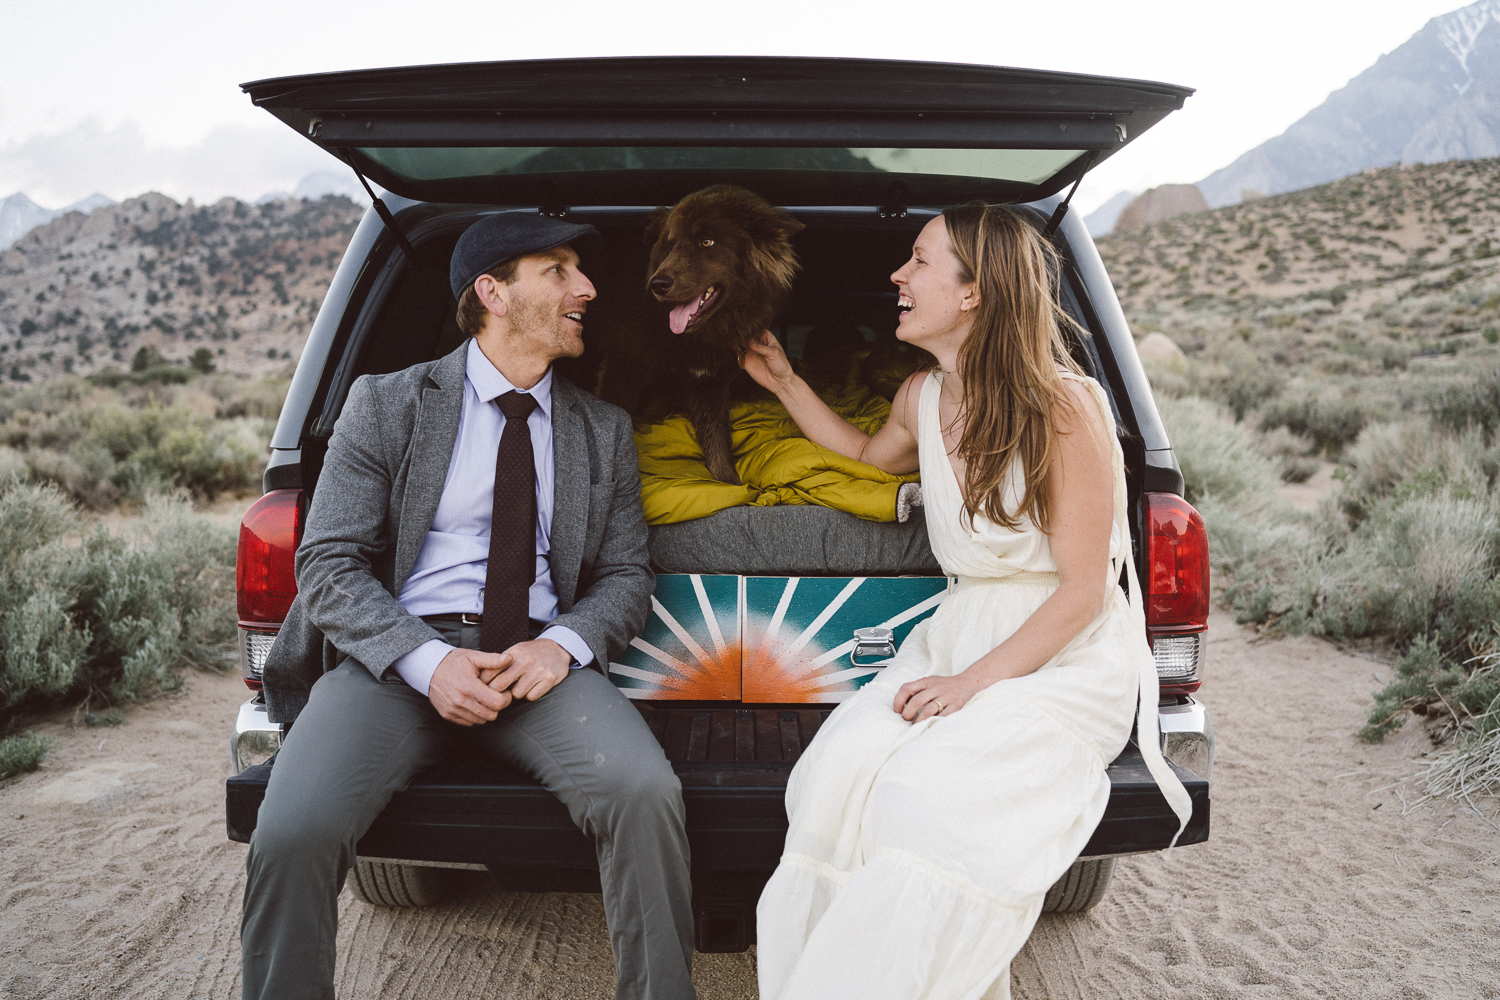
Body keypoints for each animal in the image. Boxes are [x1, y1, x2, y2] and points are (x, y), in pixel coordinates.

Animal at [597, 189, 810, 485]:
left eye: (707, 242)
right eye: (669, 246)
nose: (657, 284)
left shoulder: (708, 383)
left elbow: (717, 441)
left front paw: (729, 483)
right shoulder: (622, 368)